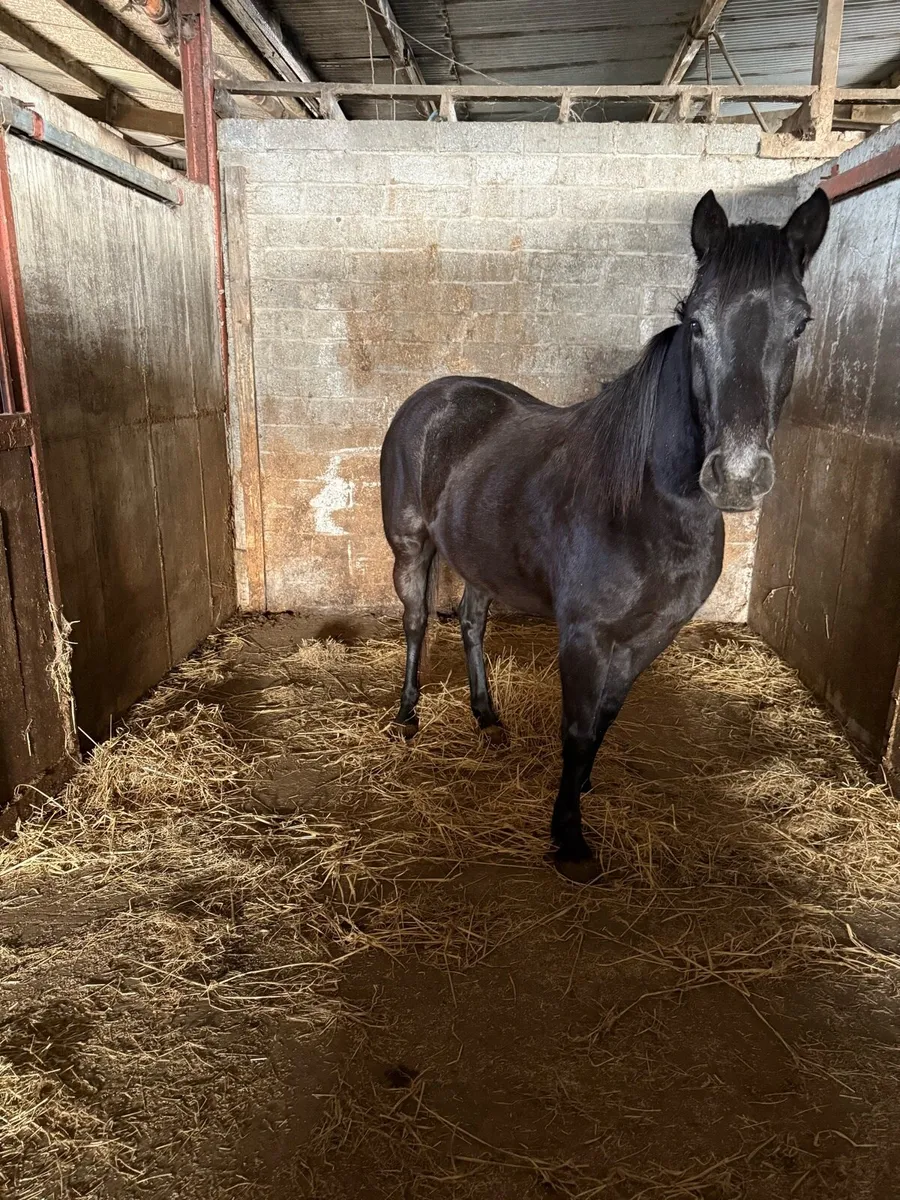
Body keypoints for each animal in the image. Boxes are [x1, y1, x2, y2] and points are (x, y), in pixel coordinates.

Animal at [379, 188, 830, 881]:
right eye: (695, 322)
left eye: (800, 323)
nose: (737, 474)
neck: (645, 509)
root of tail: (432, 396)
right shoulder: (584, 637)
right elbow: (576, 727)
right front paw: (568, 838)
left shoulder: (652, 636)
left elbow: (606, 719)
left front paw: (584, 786)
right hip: (410, 551)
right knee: (415, 623)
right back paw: (407, 717)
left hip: (481, 560)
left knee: (472, 623)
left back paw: (487, 719)